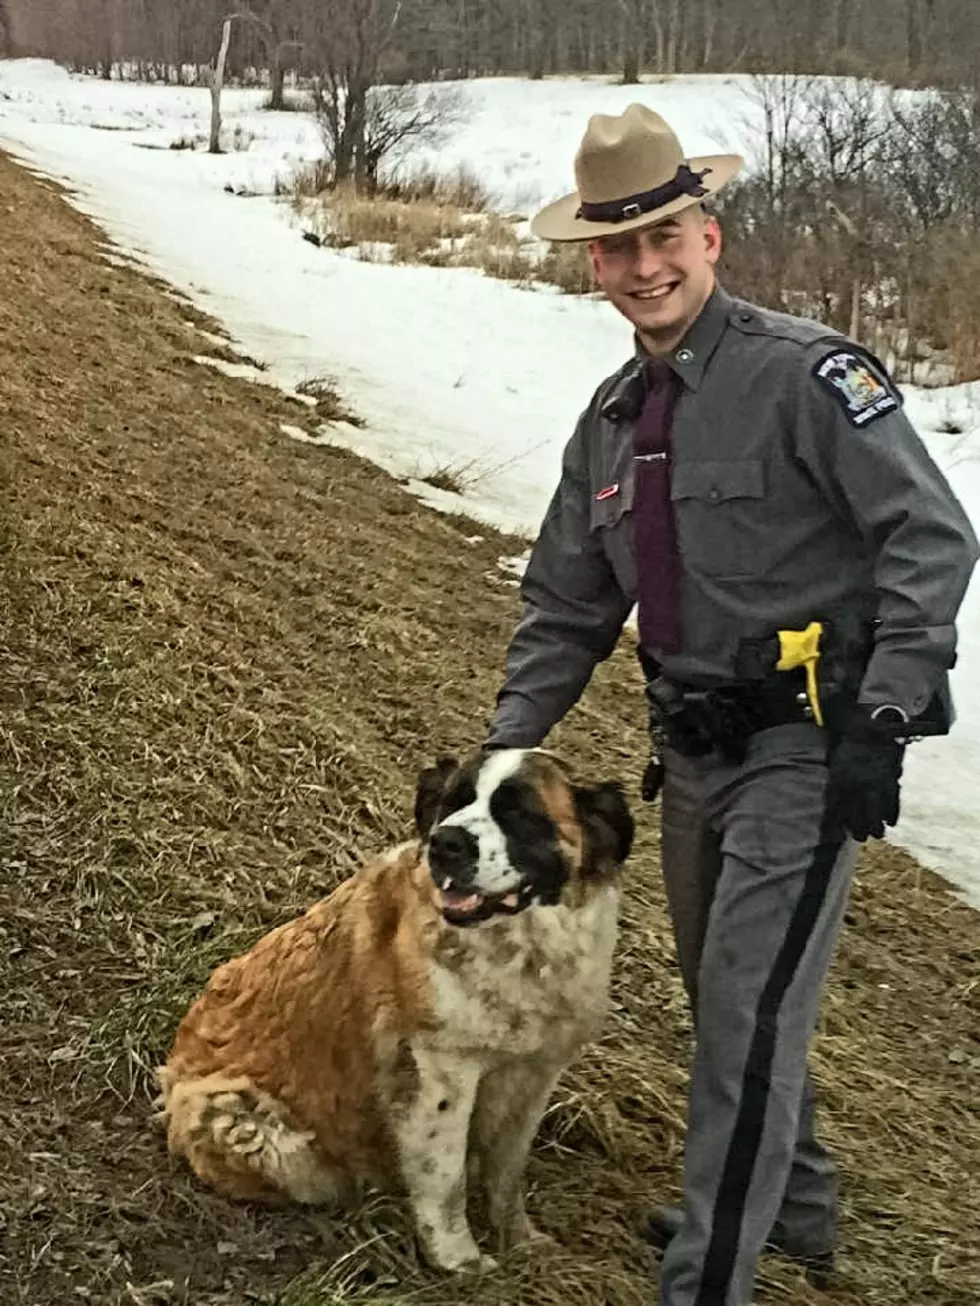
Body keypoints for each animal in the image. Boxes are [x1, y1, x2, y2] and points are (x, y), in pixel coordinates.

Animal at [157, 752, 632, 1269]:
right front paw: (461, 1261)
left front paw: (521, 1242)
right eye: (454, 801)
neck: (521, 950)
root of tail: (169, 1073)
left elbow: (507, 1170)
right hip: (252, 1124)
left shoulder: (534, 1072)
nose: (446, 843)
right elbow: (446, 1178)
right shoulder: (441, 1073)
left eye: (519, 814)